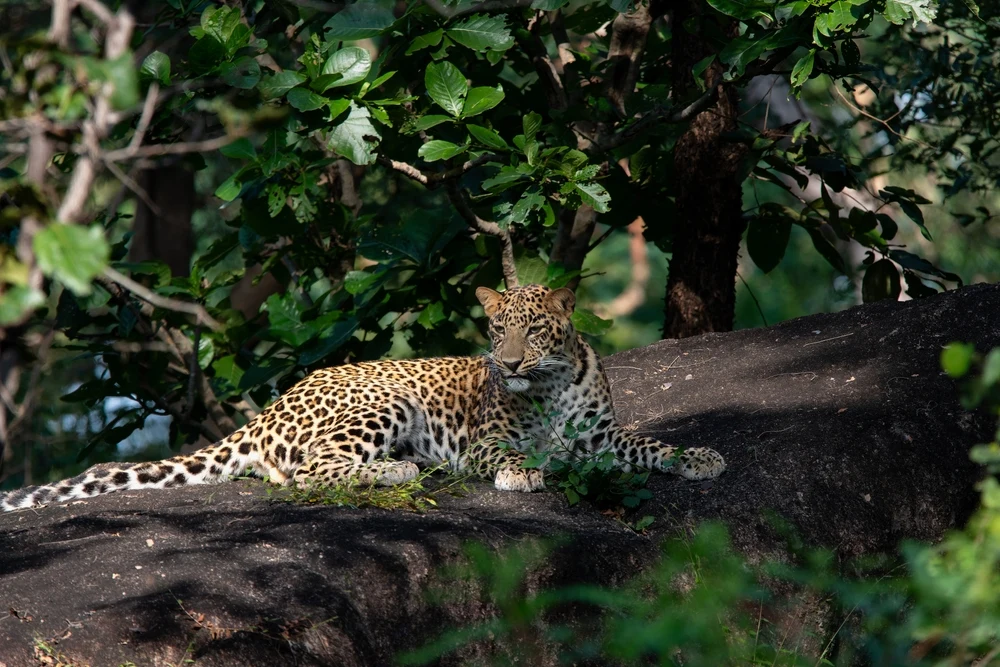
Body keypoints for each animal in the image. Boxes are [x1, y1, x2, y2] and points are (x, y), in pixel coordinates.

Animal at [1, 284, 726, 512]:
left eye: (537, 329)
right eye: (498, 330)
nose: (510, 361)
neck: (546, 384)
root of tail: (272, 404)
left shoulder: (601, 435)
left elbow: (649, 442)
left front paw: (700, 458)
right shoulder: (487, 440)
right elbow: (508, 456)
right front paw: (524, 473)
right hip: (386, 401)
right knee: (311, 472)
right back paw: (401, 470)